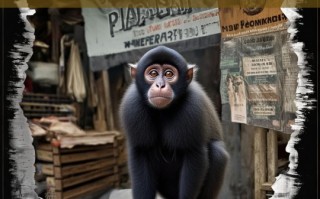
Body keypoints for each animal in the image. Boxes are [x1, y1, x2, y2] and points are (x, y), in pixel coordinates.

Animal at [119, 45, 228, 199]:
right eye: (153, 73)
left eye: (169, 74)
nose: (160, 85)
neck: (163, 111)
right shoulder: (132, 105)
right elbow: (140, 153)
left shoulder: (193, 106)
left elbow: (195, 155)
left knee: (218, 152)